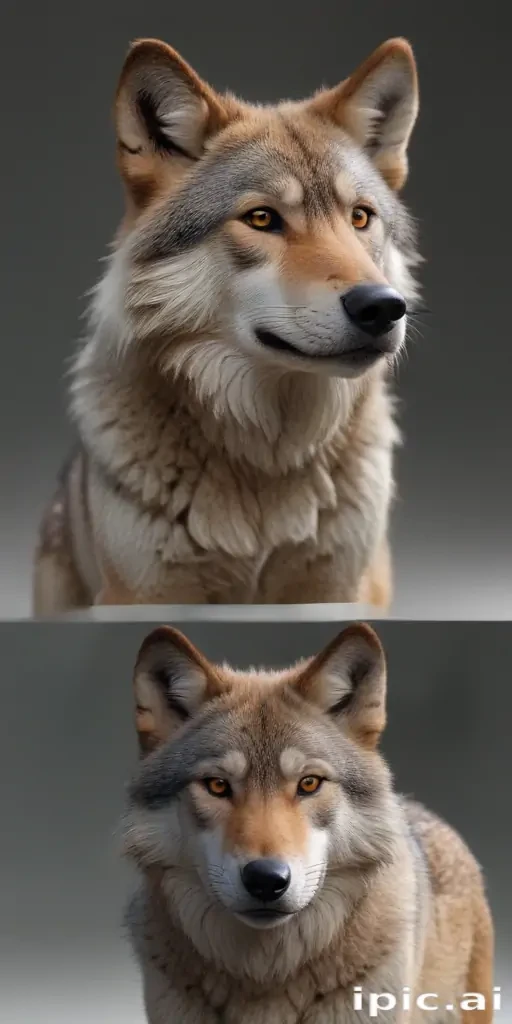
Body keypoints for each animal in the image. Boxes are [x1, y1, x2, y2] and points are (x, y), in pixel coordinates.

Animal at [34, 37, 422, 613]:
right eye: (262, 219)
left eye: (360, 217)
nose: (381, 306)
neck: (268, 458)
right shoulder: (143, 596)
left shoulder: (333, 590)